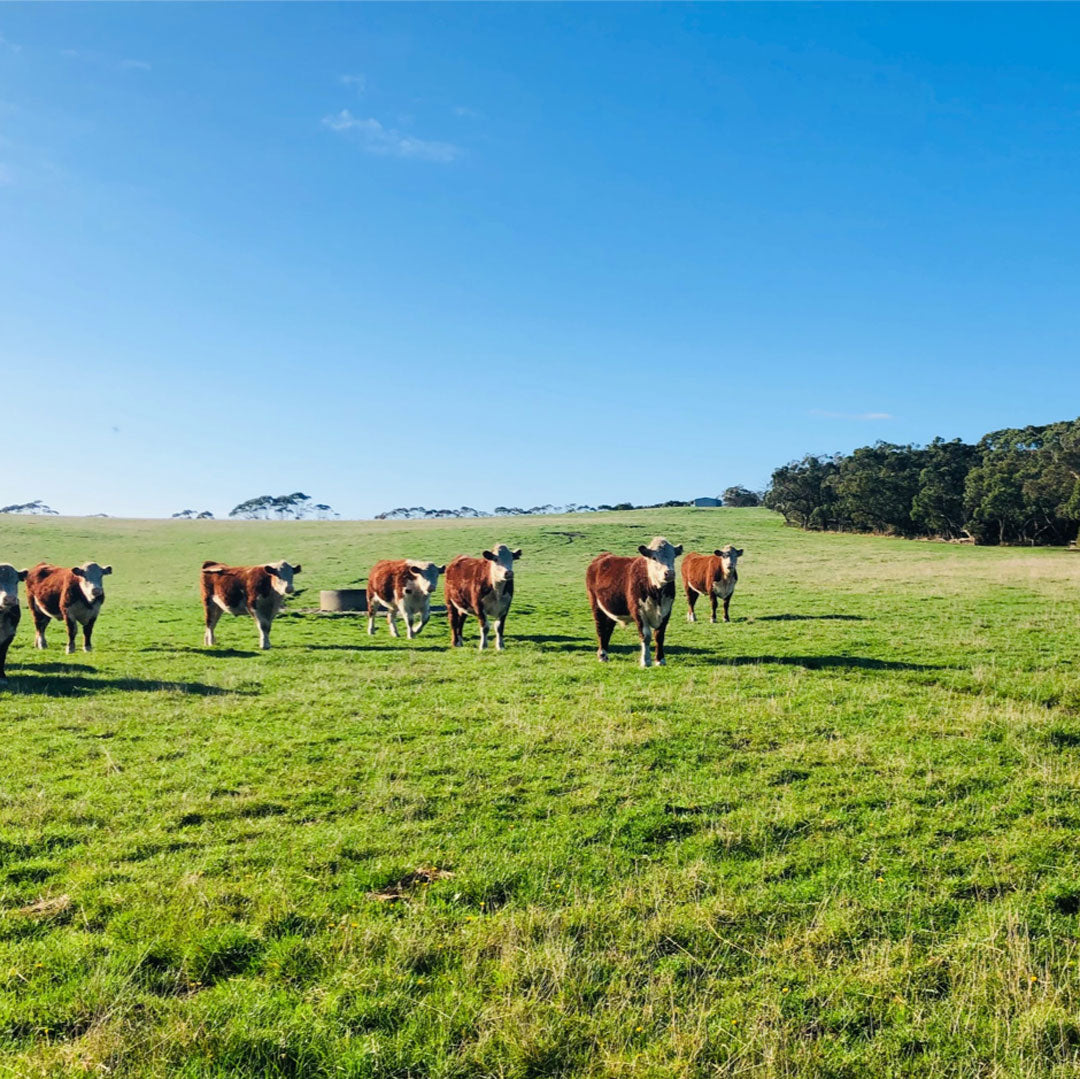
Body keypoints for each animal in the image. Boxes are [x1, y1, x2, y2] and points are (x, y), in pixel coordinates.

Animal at [583, 533, 682, 665]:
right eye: (654, 558)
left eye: (673, 557)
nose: (669, 573)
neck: (657, 595)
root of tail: (603, 556)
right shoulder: (638, 611)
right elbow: (646, 636)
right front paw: (646, 661)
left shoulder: (667, 611)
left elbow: (659, 636)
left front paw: (660, 660)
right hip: (596, 606)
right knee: (601, 629)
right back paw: (602, 655)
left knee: (608, 630)